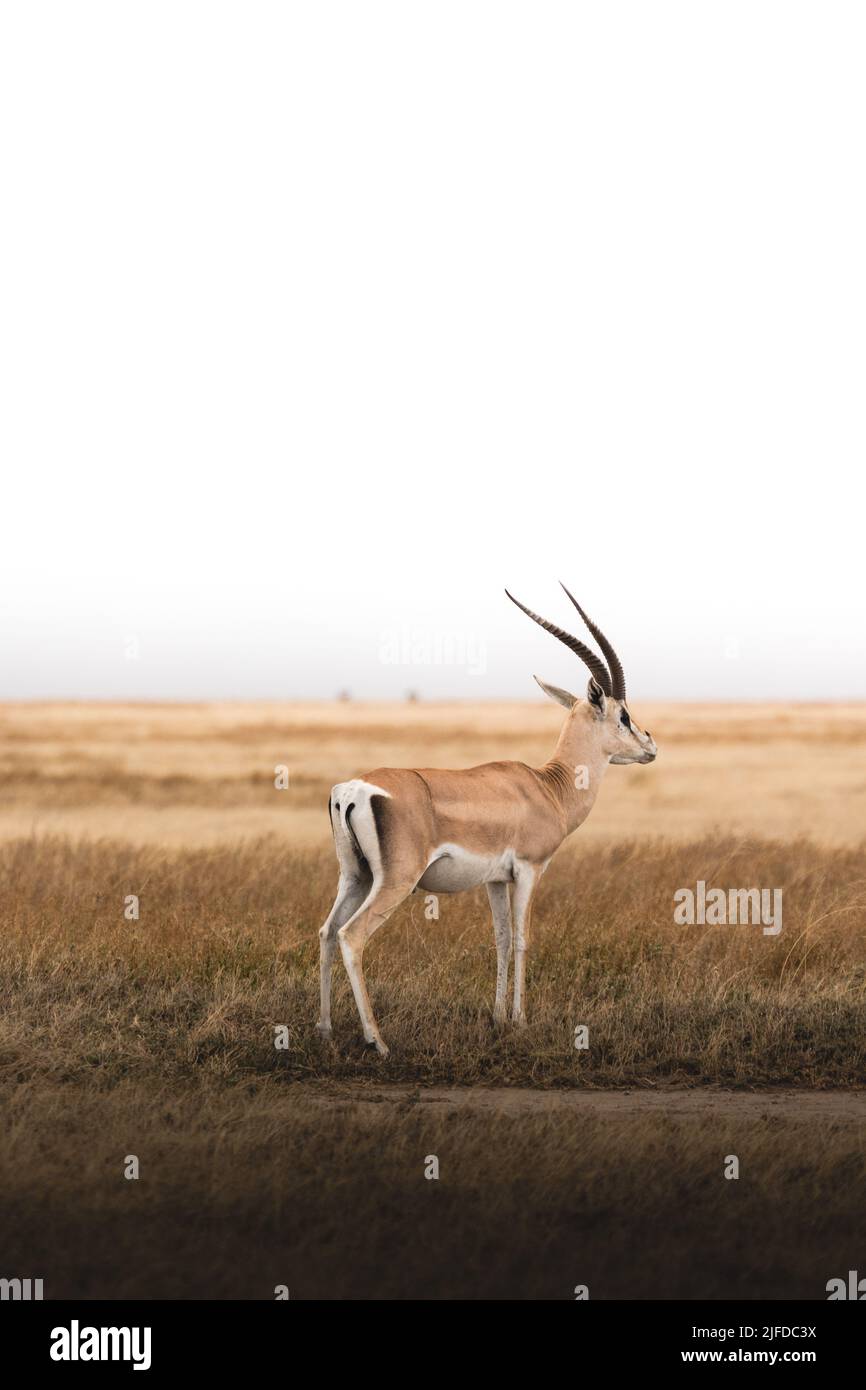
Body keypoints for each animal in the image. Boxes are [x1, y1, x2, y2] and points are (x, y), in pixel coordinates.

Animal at [317, 585, 657, 1056]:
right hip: (394, 881)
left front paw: (497, 1018)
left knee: (327, 932)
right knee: (352, 936)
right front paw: (520, 1020)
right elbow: (523, 938)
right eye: (623, 714)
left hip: (354, 876)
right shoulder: (530, 870)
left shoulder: (496, 879)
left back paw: (324, 1029)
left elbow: (500, 939)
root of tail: (351, 790)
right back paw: (377, 1041)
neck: (548, 787)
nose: (650, 746)